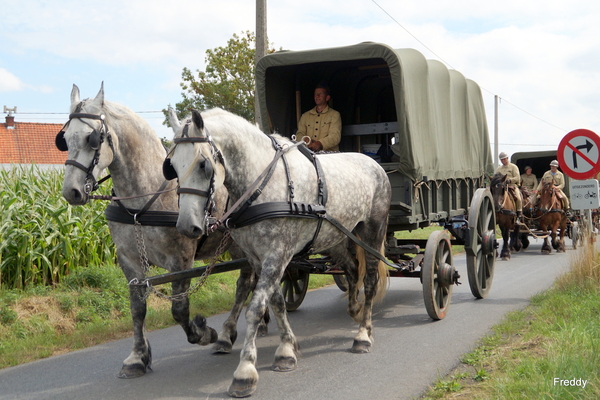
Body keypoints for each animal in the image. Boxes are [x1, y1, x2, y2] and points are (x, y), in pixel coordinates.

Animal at [58, 83, 268, 378]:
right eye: (65, 138)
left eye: (93, 139)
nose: (72, 191)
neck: (143, 203)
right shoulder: (130, 261)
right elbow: (137, 308)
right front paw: (137, 357)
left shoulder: (180, 260)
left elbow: (179, 310)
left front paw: (205, 332)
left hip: (242, 244)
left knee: (244, 284)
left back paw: (227, 335)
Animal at [165, 107, 390, 396]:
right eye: (172, 166)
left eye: (203, 165)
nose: (186, 226)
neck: (263, 183)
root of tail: (373, 163)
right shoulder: (258, 258)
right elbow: (277, 302)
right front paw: (286, 349)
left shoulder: (277, 254)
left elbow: (255, 308)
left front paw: (245, 371)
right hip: (338, 237)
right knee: (351, 270)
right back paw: (354, 309)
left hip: (373, 231)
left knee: (370, 280)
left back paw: (363, 334)